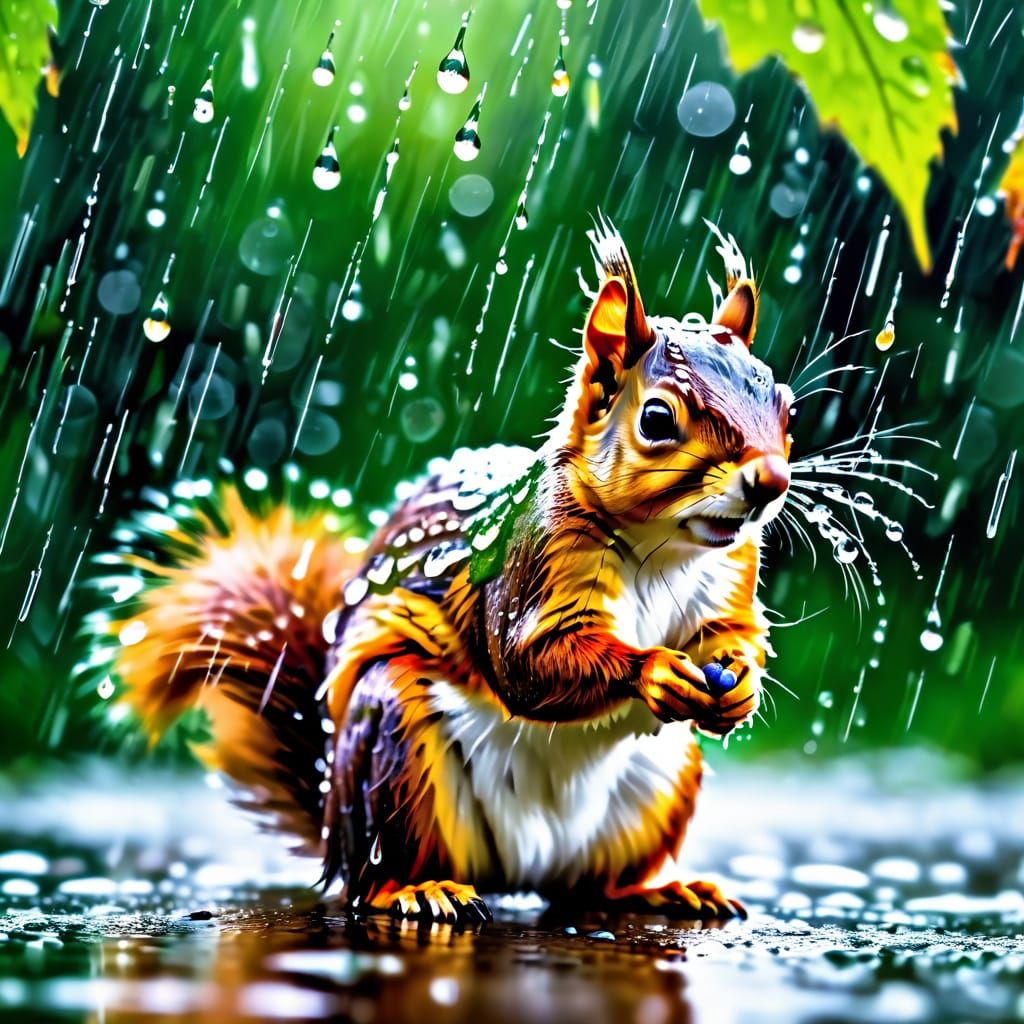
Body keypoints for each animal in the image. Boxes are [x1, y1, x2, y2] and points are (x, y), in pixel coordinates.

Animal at [94, 219, 794, 924]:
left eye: (785, 405)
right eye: (656, 419)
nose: (771, 481)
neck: (663, 548)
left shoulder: (732, 572)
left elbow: (735, 636)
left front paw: (738, 686)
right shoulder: (530, 568)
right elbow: (529, 662)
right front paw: (653, 670)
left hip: (658, 783)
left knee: (590, 887)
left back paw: (661, 890)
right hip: (394, 748)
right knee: (376, 878)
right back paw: (419, 890)